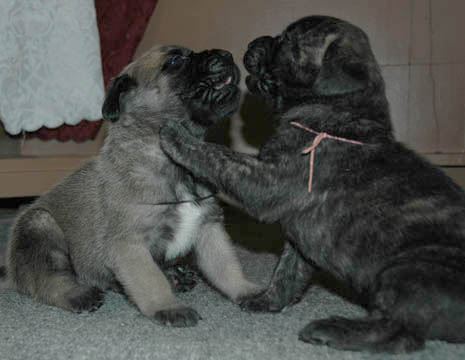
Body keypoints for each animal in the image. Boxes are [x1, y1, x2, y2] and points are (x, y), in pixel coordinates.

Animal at [0, 44, 258, 326]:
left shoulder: (209, 228)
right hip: (40, 225)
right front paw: (168, 306)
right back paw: (80, 294)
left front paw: (248, 291)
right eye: (175, 61)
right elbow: (151, 280)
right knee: (48, 281)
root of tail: (10, 272)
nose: (227, 55)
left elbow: (226, 267)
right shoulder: (129, 244)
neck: (172, 161)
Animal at [159, 16, 464, 352]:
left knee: (397, 330)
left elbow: (217, 155)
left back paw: (331, 329)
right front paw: (268, 301)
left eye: (289, 40)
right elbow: (287, 270)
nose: (252, 43)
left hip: (407, 271)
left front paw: (177, 134)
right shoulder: (297, 232)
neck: (338, 109)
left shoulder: (263, 181)